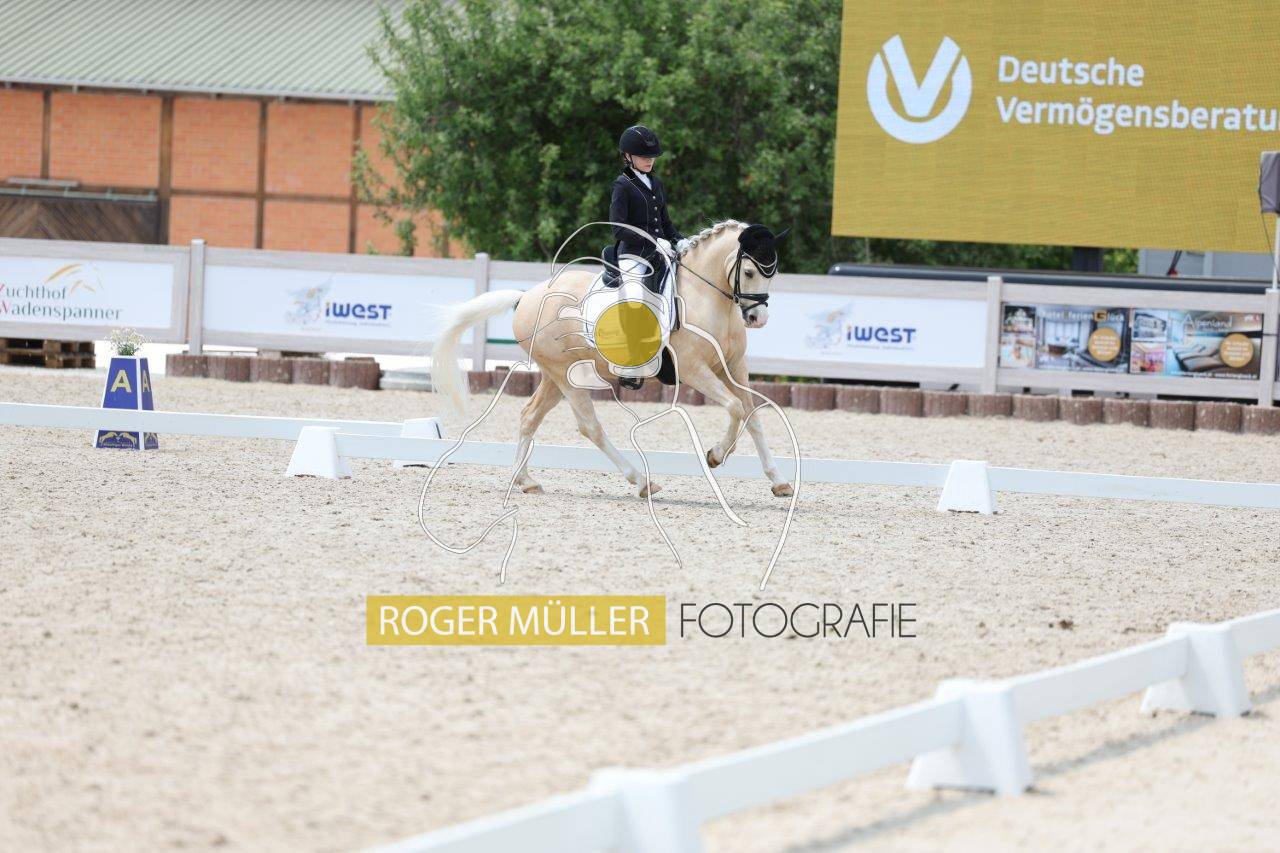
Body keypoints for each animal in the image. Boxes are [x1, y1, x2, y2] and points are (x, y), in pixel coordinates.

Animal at [429, 219, 795, 500]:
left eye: (772, 273)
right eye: (749, 271)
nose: (757, 318)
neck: (704, 296)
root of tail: (525, 297)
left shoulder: (734, 367)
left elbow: (751, 415)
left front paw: (779, 482)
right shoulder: (693, 369)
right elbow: (735, 408)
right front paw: (715, 455)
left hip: (555, 376)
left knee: (529, 416)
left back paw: (527, 481)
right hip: (565, 375)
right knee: (590, 427)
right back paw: (642, 481)